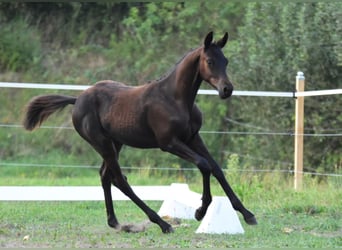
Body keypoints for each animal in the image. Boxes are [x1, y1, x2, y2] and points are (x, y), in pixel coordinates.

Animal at [23, 31, 256, 232]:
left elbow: (216, 168)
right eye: (209, 61)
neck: (175, 98)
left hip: (115, 143)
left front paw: (247, 213)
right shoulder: (169, 143)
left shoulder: (193, 137)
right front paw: (200, 211)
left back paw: (115, 222)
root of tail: (77, 99)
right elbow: (204, 164)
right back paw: (162, 223)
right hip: (101, 143)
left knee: (105, 176)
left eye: (226, 61)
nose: (227, 89)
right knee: (119, 180)